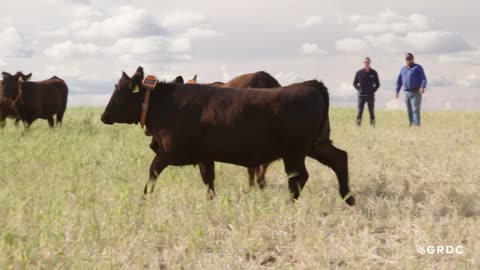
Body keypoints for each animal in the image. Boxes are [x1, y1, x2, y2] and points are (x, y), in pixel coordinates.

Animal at [102, 67, 356, 205]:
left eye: (120, 92)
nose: (104, 116)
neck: (164, 102)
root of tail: (310, 84)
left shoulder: (169, 152)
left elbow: (152, 173)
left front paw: (143, 200)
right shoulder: (204, 156)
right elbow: (209, 180)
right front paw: (211, 202)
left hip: (294, 152)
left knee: (299, 177)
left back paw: (290, 204)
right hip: (316, 145)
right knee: (339, 158)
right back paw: (348, 198)